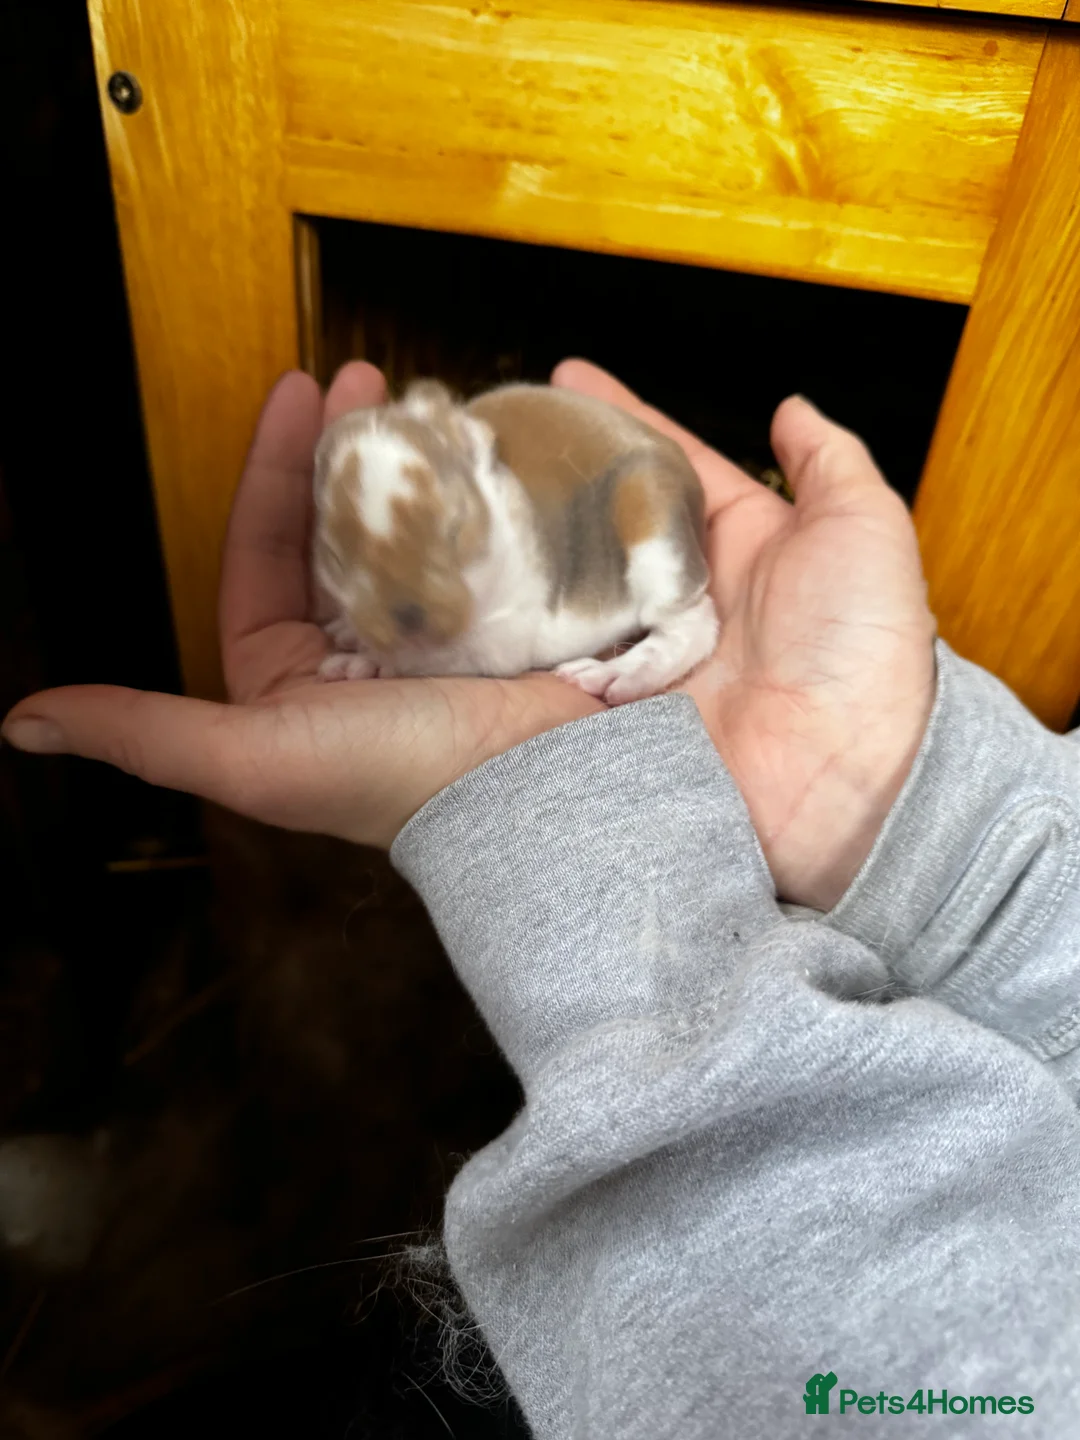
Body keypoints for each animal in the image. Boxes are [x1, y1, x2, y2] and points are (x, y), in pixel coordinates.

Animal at [312, 379, 719, 706]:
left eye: (456, 528)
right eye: (333, 556)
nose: (410, 620)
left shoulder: (499, 639)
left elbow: (425, 659)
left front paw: (362, 660)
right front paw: (350, 632)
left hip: (654, 528)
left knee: (695, 625)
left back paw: (614, 676)